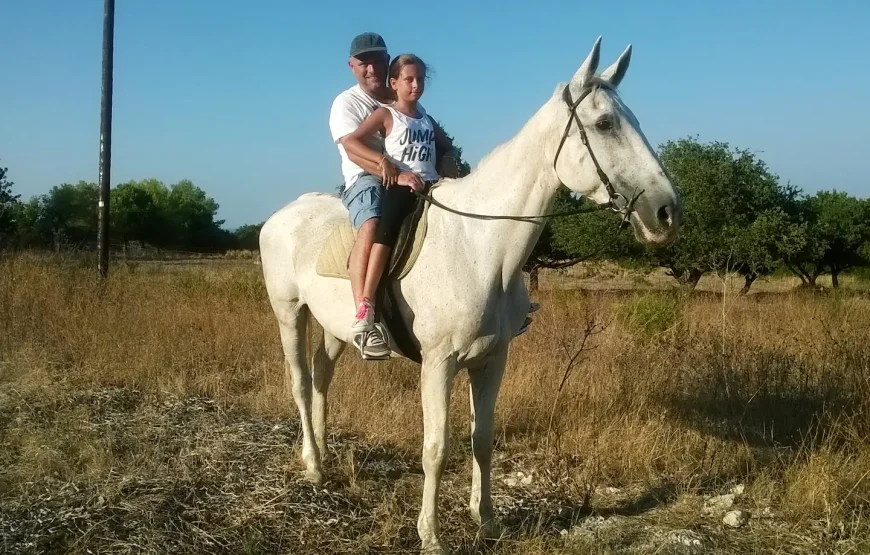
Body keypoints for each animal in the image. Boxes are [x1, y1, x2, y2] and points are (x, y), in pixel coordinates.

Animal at [262, 37, 684, 552]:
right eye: (605, 123)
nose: (667, 213)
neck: (481, 247)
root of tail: (282, 215)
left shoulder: (491, 359)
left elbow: (482, 439)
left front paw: (486, 520)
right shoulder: (439, 363)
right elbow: (437, 448)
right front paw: (431, 535)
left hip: (334, 327)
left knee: (323, 377)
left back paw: (323, 455)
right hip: (289, 313)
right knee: (302, 384)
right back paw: (313, 467)